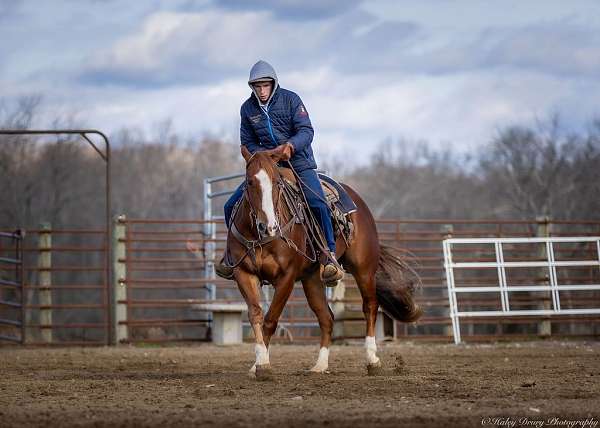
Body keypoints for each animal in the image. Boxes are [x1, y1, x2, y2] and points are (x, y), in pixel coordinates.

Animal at [230, 146, 422, 378]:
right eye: (249, 182)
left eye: (276, 182)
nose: (269, 226)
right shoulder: (243, 273)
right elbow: (256, 315)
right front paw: (258, 363)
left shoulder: (286, 277)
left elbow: (270, 319)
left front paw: (264, 366)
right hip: (312, 278)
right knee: (326, 317)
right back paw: (320, 365)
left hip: (364, 269)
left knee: (370, 306)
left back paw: (372, 359)